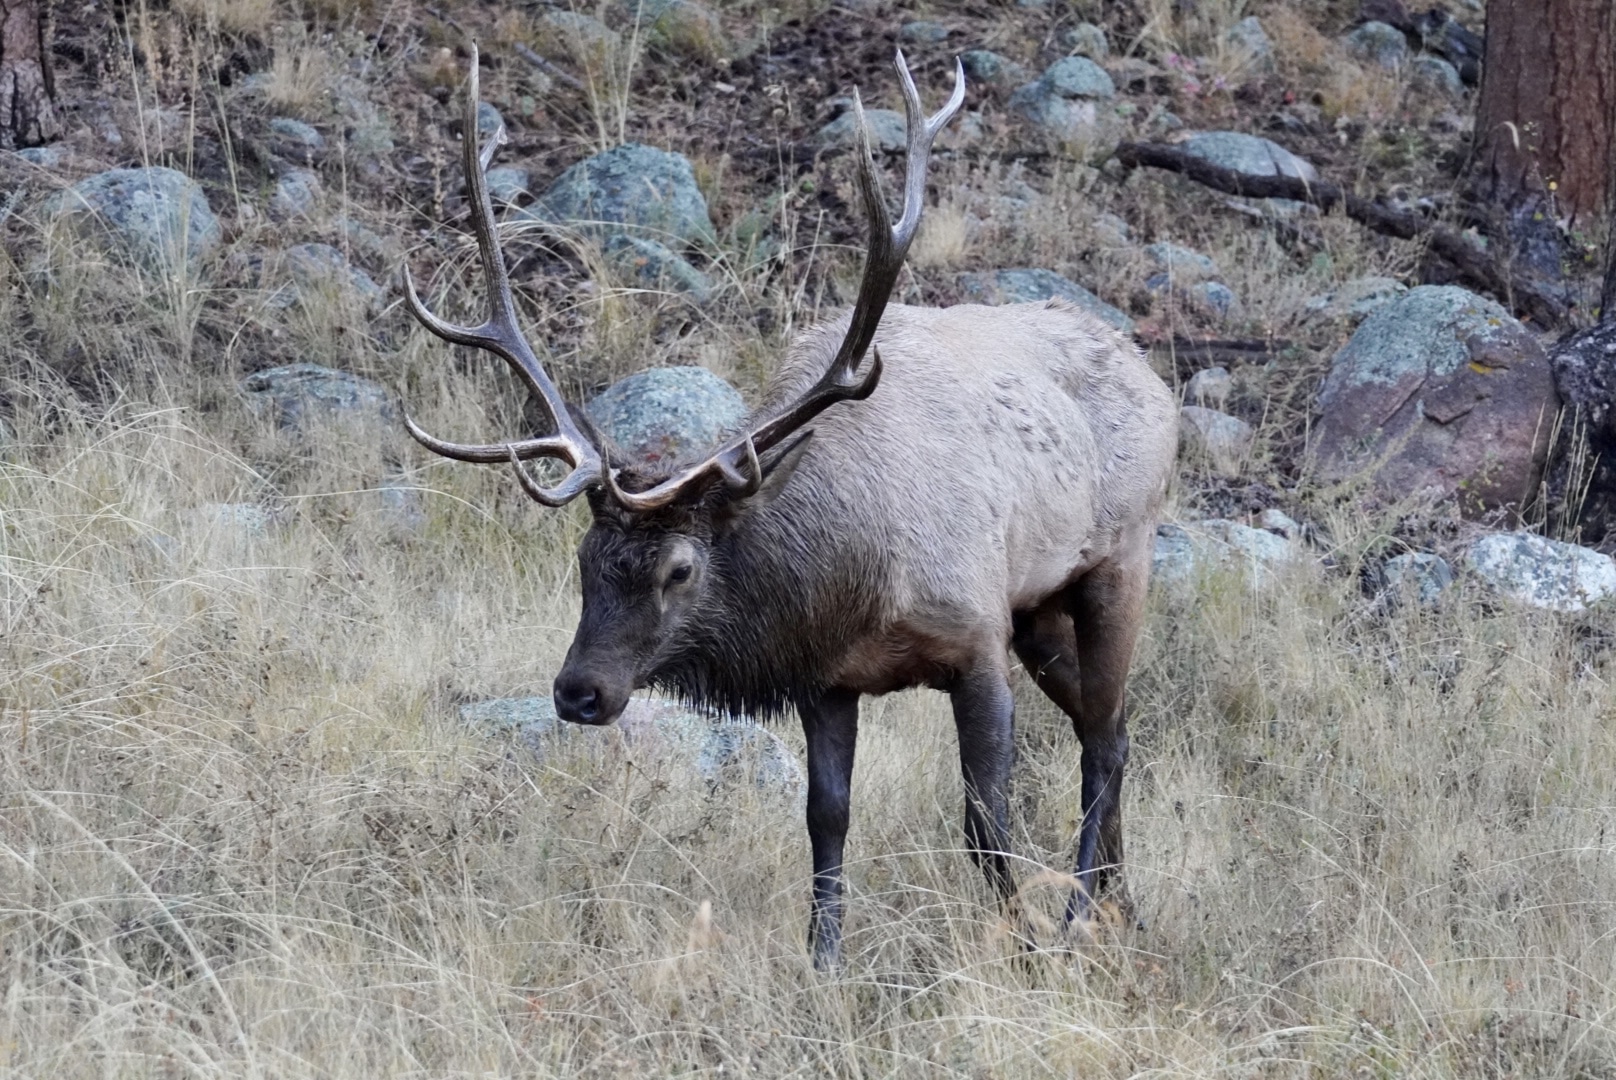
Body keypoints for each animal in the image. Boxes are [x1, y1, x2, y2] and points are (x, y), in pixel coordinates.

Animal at [404, 48, 1182, 970]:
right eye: (584, 560)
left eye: (681, 569)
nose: (578, 693)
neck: (857, 579)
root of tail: (1149, 374)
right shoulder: (826, 678)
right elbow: (827, 819)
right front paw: (824, 961)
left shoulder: (976, 637)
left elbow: (985, 821)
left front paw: (1021, 943)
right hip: (1041, 611)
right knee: (1114, 727)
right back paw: (1125, 904)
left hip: (1119, 560)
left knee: (1103, 738)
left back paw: (1082, 910)